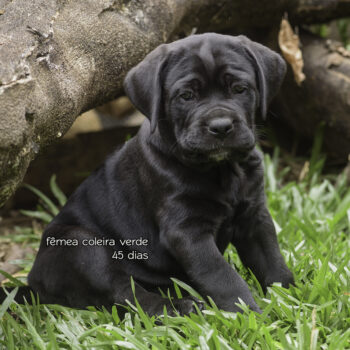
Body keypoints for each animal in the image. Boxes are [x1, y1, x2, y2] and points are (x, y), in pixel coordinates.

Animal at [4, 33, 296, 314]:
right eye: (186, 96)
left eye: (239, 89)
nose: (221, 126)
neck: (223, 170)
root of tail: (33, 283)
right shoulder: (187, 231)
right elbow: (221, 275)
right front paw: (248, 312)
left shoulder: (255, 217)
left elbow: (272, 262)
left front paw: (291, 300)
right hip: (81, 245)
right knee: (126, 294)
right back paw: (179, 307)